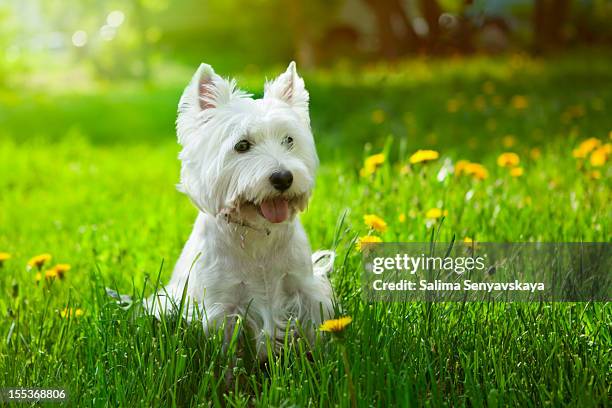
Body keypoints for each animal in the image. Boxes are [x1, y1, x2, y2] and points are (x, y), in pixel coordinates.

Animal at [145, 61, 334, 356]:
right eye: (242, 145)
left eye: (289, 140)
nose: (283, 178)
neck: (256, 233)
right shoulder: (222, 306)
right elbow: (228, 355)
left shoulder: (304, 289)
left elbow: (314, 330)